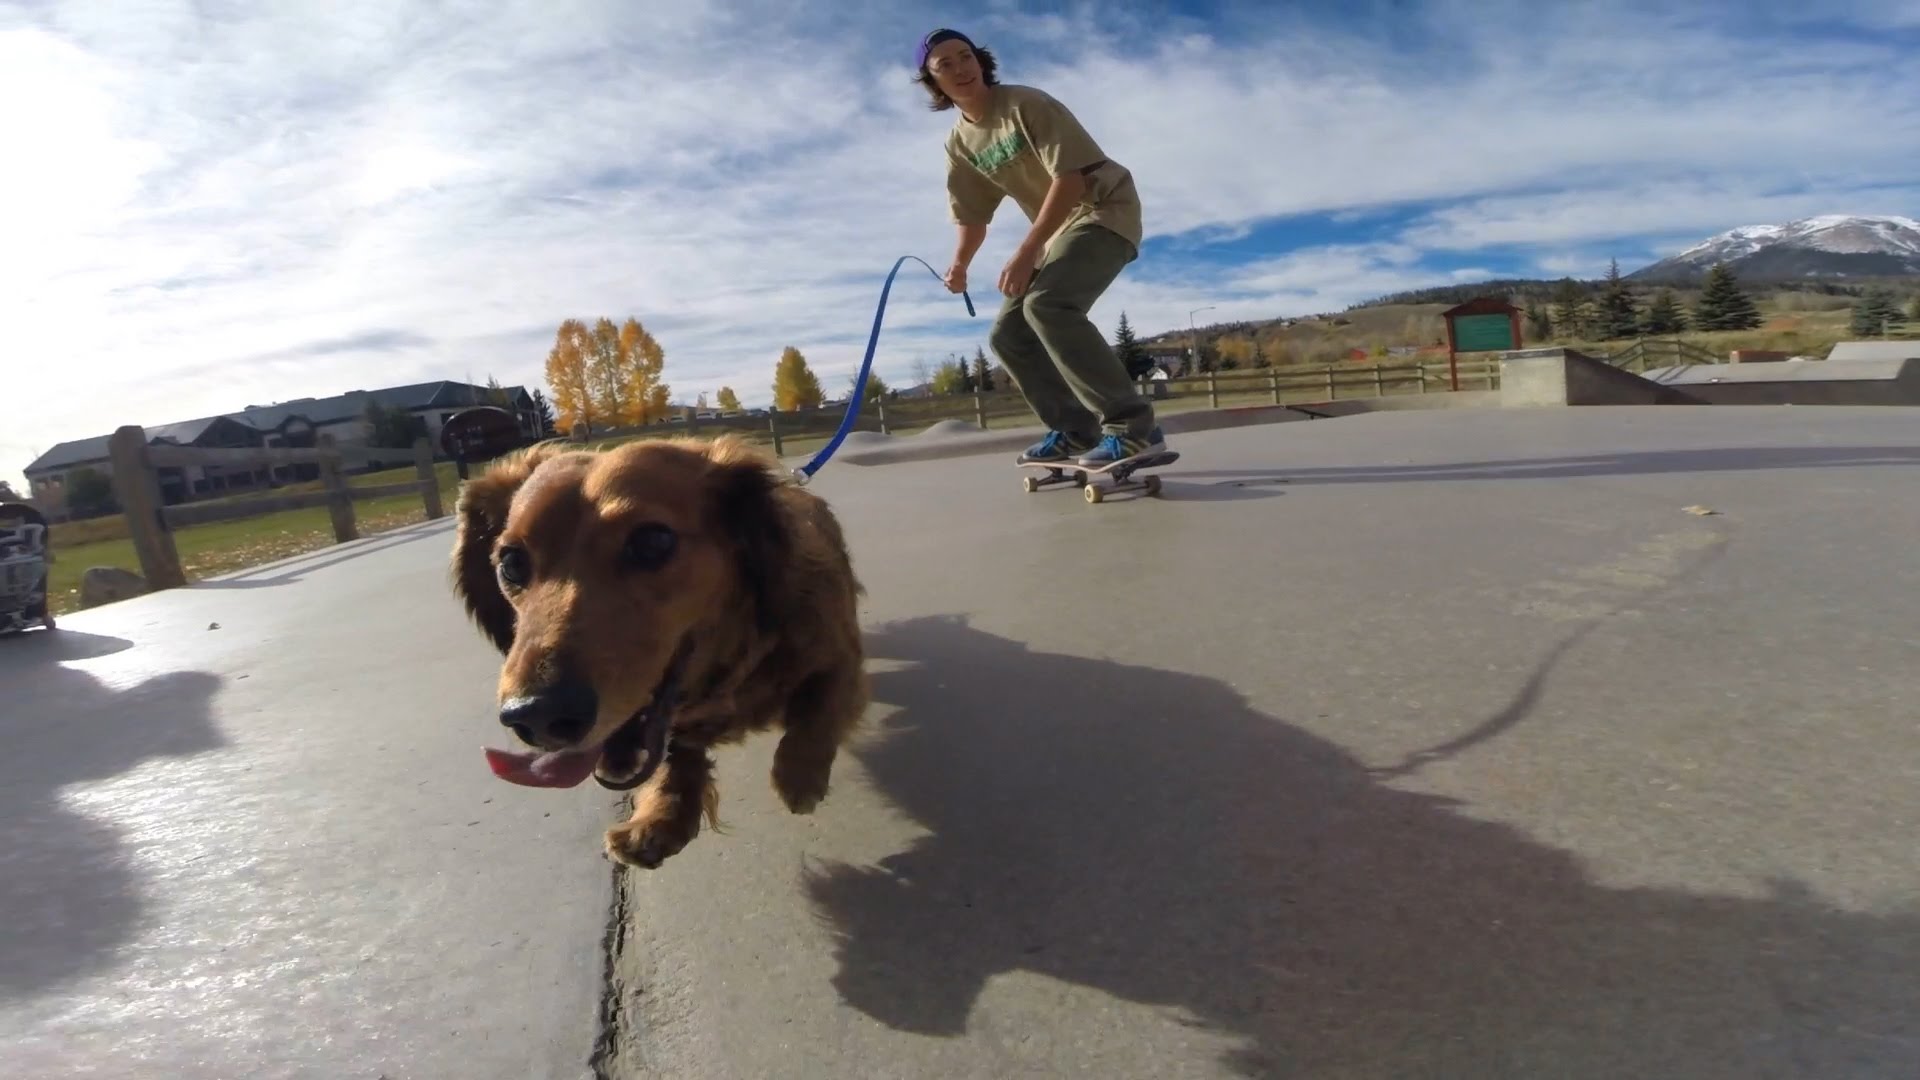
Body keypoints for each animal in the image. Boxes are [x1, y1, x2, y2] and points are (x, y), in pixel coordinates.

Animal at [445, 428, 867, 864]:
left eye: (653, 541)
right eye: (511, 563)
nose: (536, 717)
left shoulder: (839, 652)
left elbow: (823, 702)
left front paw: (800, 775)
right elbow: (674, 757)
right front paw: (661, 816)